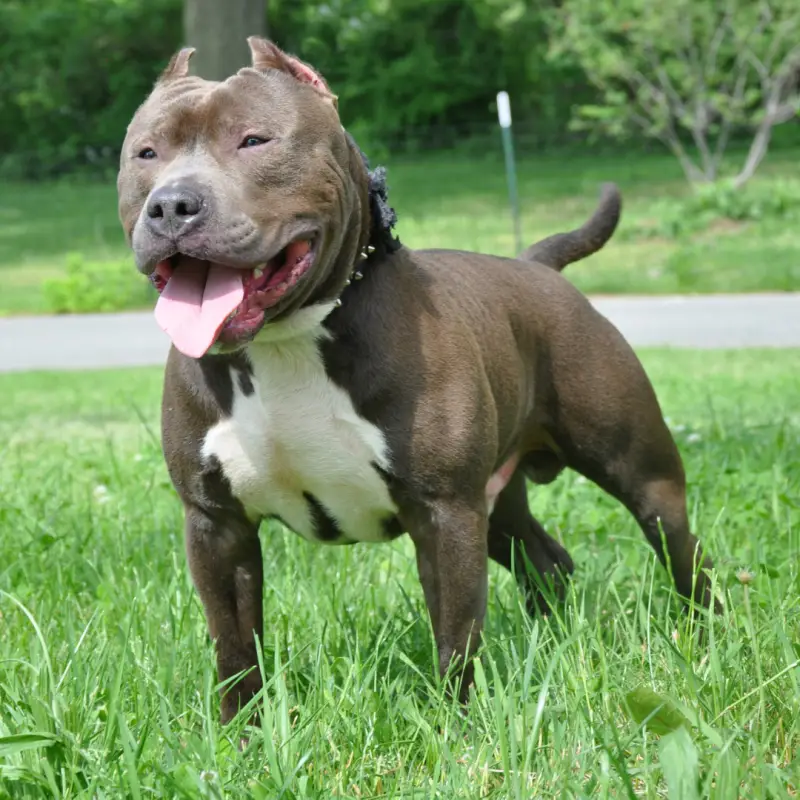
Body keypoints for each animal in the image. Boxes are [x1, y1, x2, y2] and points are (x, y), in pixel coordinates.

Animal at [114, 39, 720, 724]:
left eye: (253, 140)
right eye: (146, 153)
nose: (172, 204)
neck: (284, 342)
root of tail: (537, 267)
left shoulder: (444, 512)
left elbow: (454, 637)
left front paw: (456, 728)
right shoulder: (216, 524)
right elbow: (236, 646)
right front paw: (240, 733)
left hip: (638, 472)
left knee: (680, 550)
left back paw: (705, 637)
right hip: (498, 503)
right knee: (548, 560)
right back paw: (550, 639)